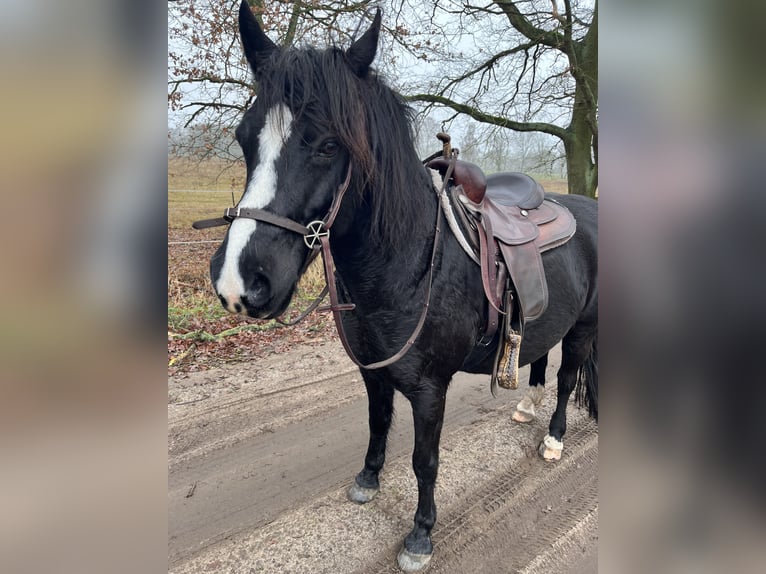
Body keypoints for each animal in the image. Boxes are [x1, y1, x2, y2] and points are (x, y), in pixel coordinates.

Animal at [206, 2, 598, 570]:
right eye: (243, 137)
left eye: (329, 144)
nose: (240, 282)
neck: (408, 265)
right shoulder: (374, 371)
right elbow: (377, 423)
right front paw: (368, 479)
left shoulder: (430, 389)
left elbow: (424, 460)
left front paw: (420, 534)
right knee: (540, 360)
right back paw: (526, 408)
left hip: (584, 328)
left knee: (568, 380)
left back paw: (553, 438)